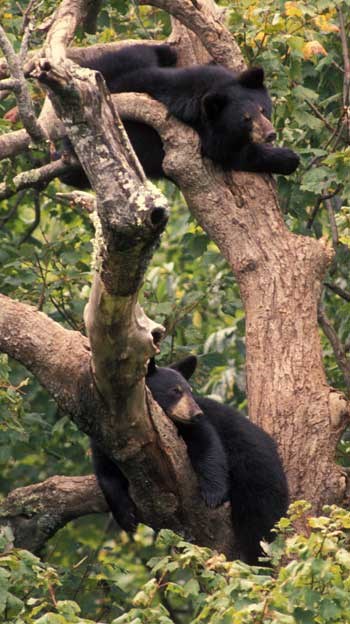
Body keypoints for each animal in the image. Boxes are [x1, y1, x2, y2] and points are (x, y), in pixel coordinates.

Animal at [58, 42, 300, 185]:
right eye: (246, 120)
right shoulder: (206, 132)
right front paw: (288, 158)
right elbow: (235, 155)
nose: (270, 134)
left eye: (263, 109)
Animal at [91, 356, 288, 564]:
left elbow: (208, 444)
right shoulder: (107, 437)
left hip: (255, 473)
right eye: (175, 390)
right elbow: (107, 475)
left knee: (259, 521)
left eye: (190, 391)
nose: (196, 413)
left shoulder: (196, 427)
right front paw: (126, 518)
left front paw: (213, 494)